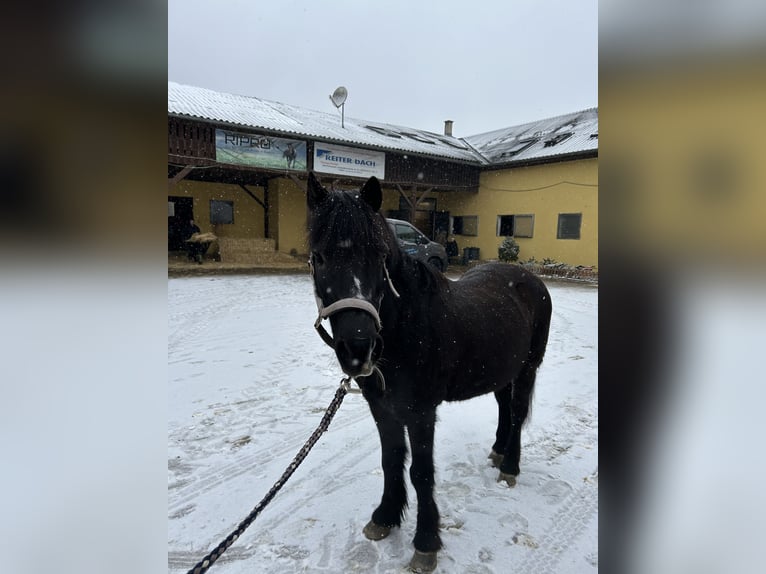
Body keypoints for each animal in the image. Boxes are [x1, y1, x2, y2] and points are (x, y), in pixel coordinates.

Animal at [306, 173, 552, 572]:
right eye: (320, 256)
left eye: (379, 256)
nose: (358, 349)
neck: (406, 326)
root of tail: (530, 279)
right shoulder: (383, 409)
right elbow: (391, 461)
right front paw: (384, 517)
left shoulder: (420, 413)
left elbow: (421, 474)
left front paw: (425, 543)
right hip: (502, 369)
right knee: (504, 407)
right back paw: (498, 452)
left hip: (528, 367)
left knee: (516, 413)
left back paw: (511, 467)